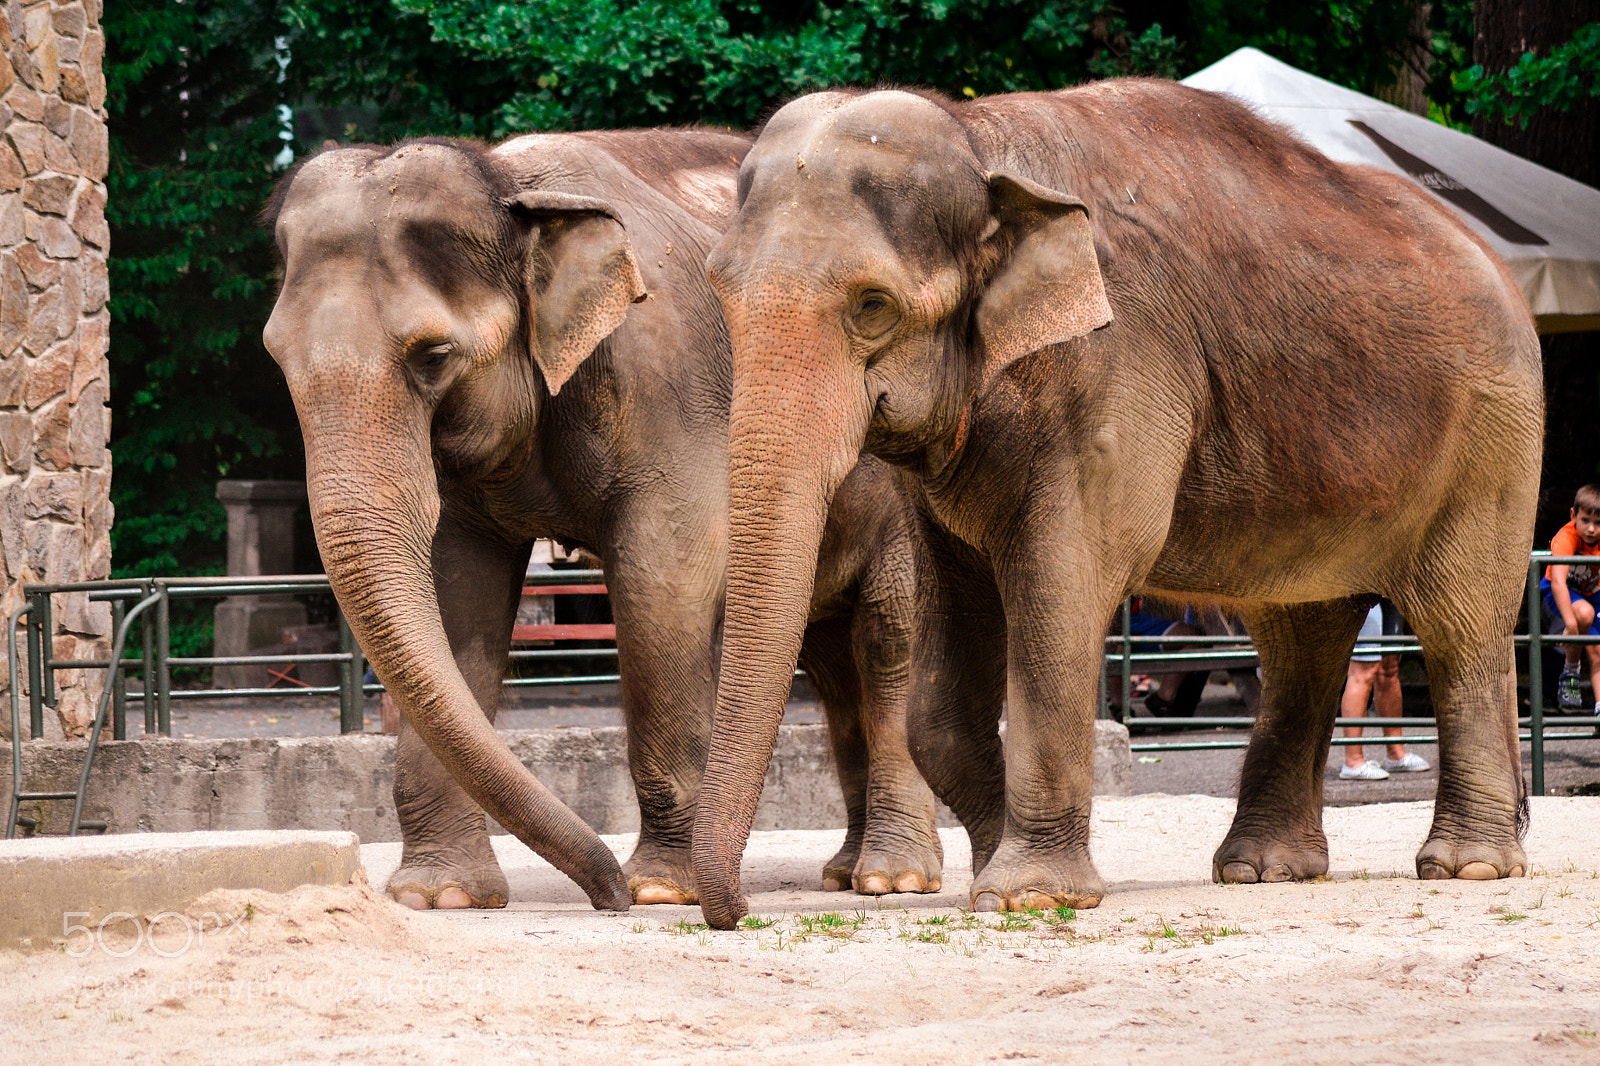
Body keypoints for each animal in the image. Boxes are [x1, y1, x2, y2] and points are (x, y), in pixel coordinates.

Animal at [261, 128, 960, 910]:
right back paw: (843, 872)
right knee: (832, 662)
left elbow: (664, 579)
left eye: (434, 355)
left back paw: (893, 879)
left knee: (887, 641)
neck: (514, 189)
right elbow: (457, 593)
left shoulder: (670, 383)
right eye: (276, 359)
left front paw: (659, 891)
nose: (606, 896)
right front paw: (439, 896)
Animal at [690, 79, 1543, 928]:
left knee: (1460, 625)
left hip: (1495, 438)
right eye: (721, 289)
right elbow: (939, 685)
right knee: (1303, 635)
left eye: (873, 306)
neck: (980, 136)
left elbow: (1062, 588)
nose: (739, 912)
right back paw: (1263, 870)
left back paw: (1465, 866)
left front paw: (1027, 895)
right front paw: (997, 869)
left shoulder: (1120, 364)